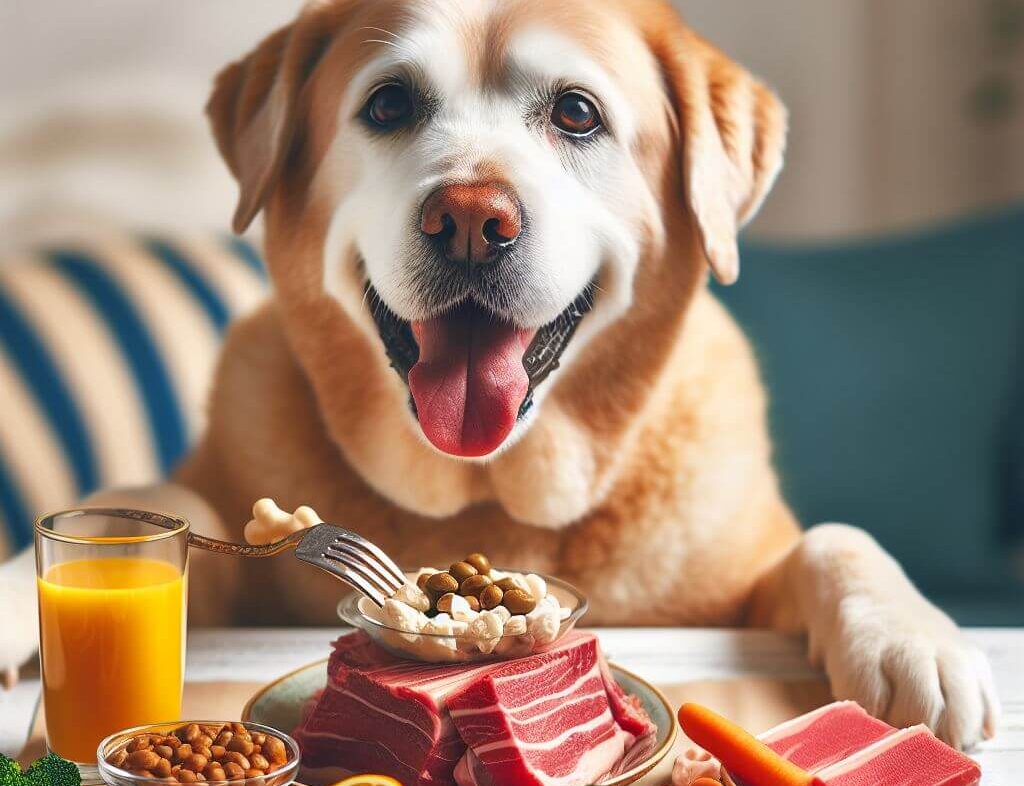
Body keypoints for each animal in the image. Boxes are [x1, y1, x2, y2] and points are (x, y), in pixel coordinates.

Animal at [0, 0, 995, 753]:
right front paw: (16, 596)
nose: (472, 220)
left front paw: (918, 640)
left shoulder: (748, 576)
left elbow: (835, 539)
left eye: (578, 113)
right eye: (388, 104)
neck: (487, 488)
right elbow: (160, 506)